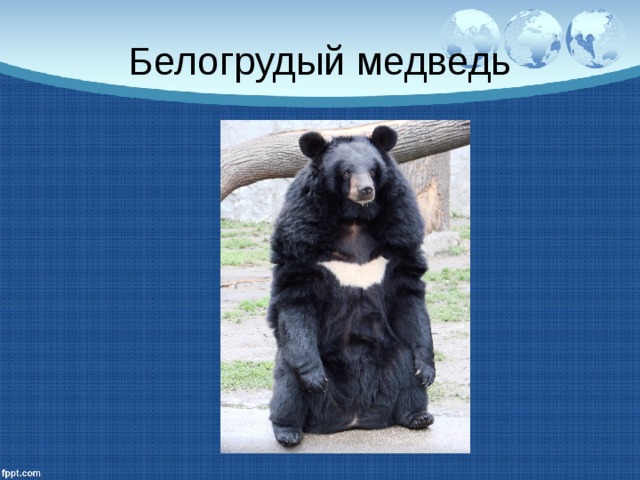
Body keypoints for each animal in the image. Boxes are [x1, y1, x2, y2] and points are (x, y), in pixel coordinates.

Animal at [267, 125, 435, 447]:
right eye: (346, 172)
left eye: (373, 170)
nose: (366, 190)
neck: (355, 217)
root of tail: (352, 418)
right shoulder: (301, 231)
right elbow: (297, 293)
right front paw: (315, 379)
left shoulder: (401, 229)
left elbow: (407, 292)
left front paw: (427, 369)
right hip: (293, 359)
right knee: (287, 386)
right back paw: (288, 431)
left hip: (392, 353)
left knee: (407, 372)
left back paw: (418, 416)